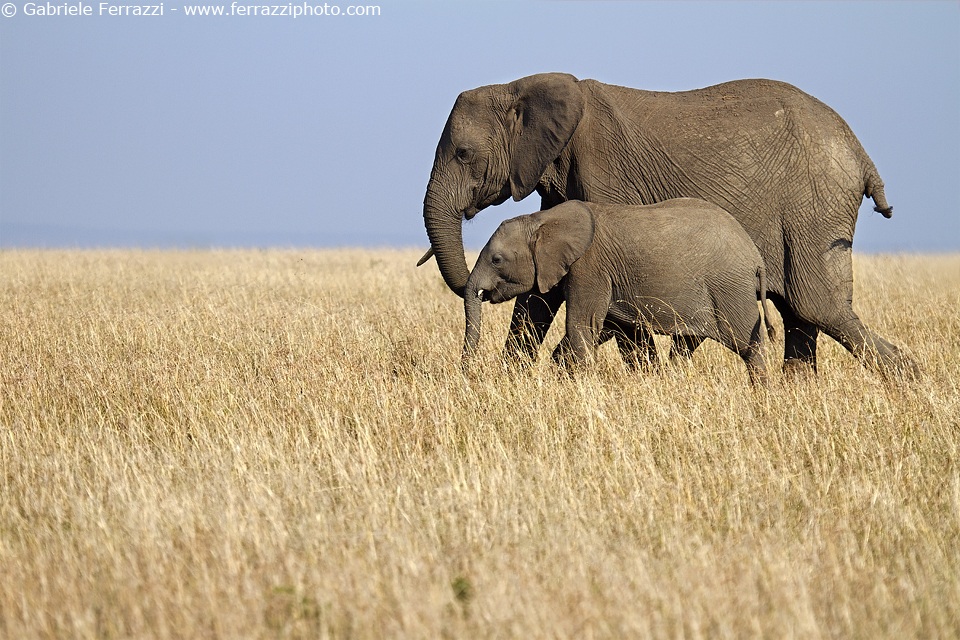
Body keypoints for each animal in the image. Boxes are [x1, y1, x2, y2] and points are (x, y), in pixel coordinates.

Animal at [463, 199, 774, 384]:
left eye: (497, 260)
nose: (466, 373)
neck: (542, 218)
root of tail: (755, 257)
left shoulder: (590, 268)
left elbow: (582, 326)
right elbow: (613, 329)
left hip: (730, 290)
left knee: (749, 345)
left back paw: (761, 392)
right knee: (686, 344)